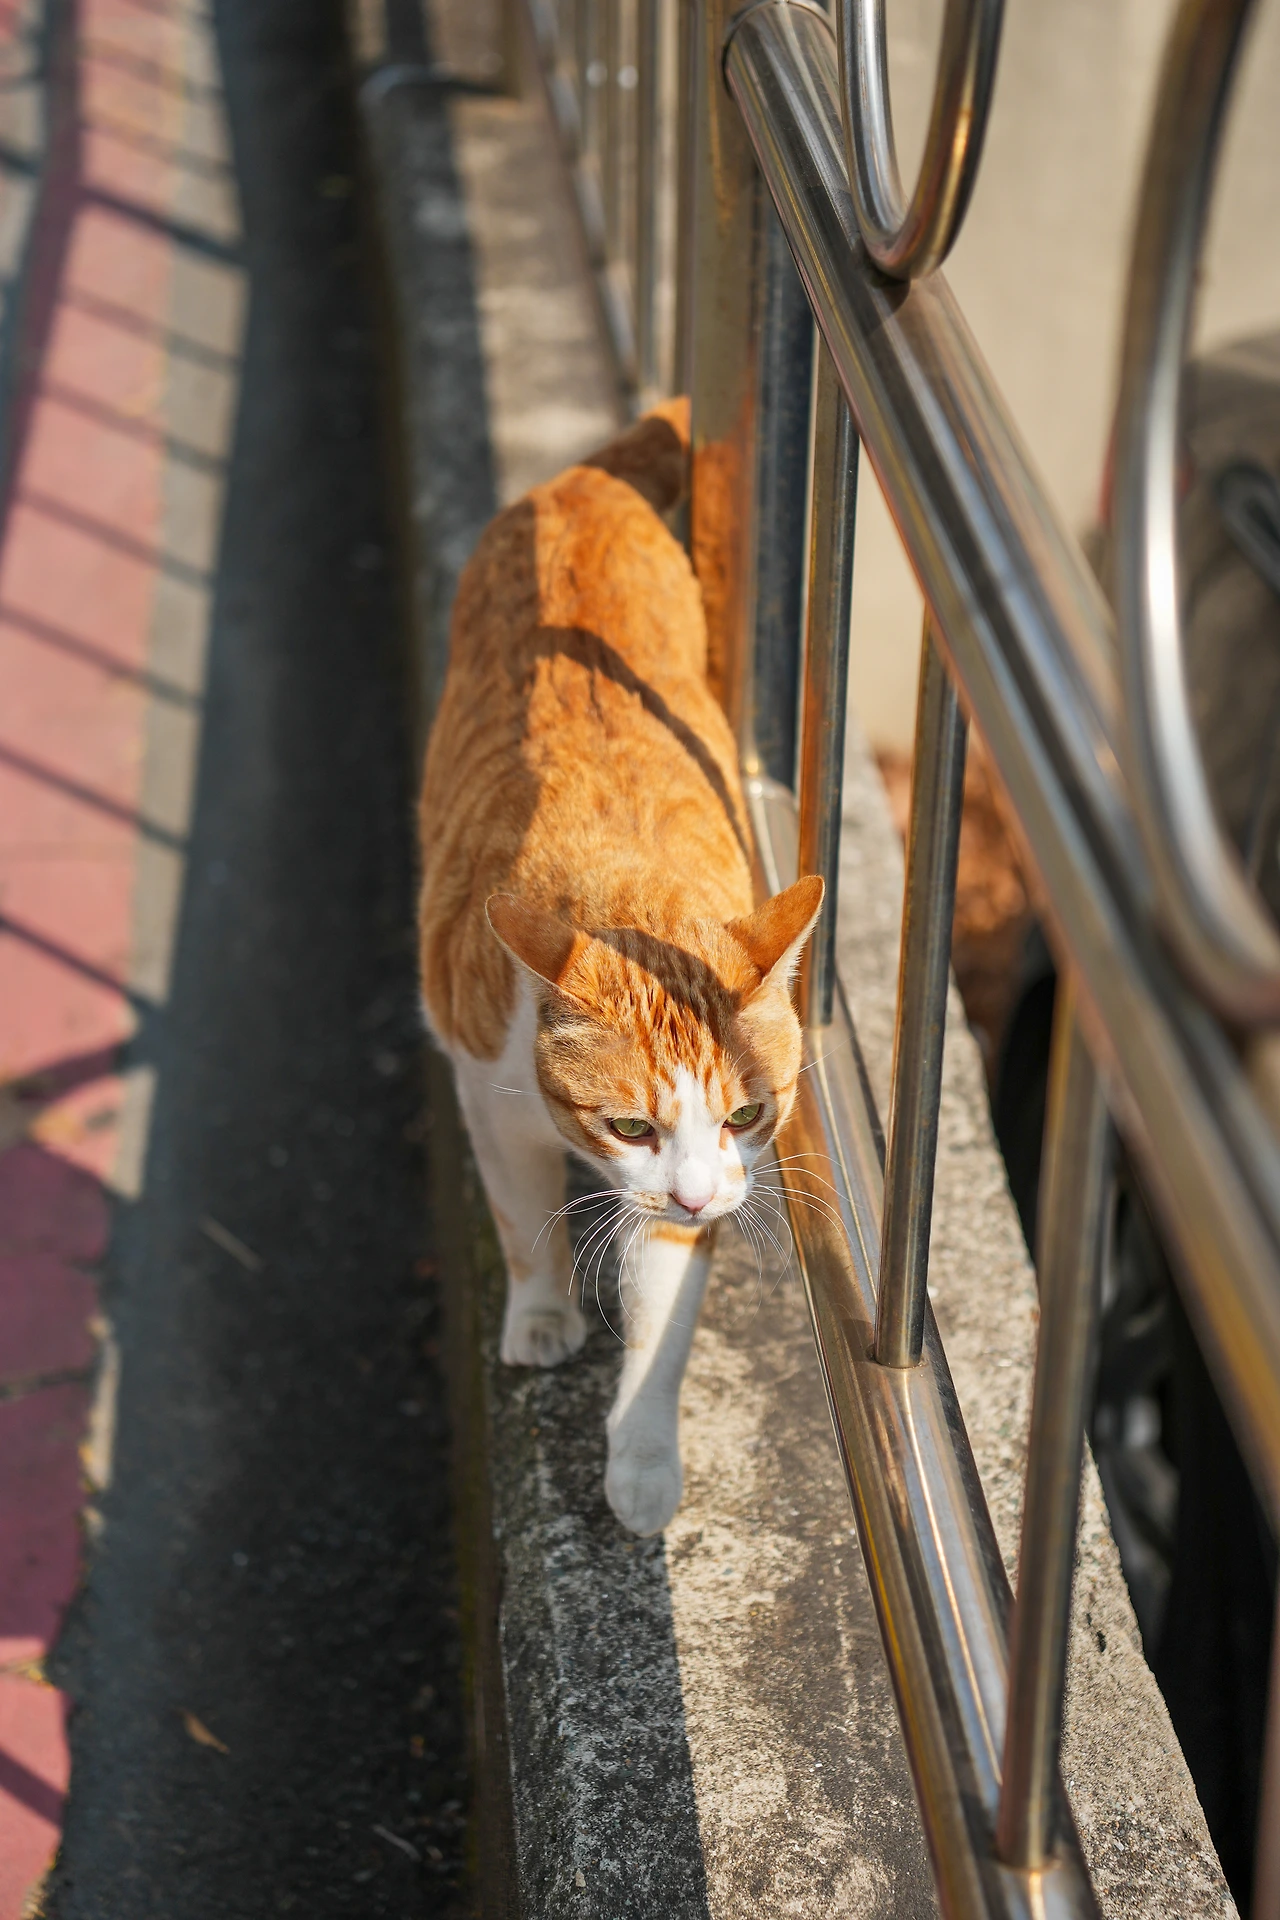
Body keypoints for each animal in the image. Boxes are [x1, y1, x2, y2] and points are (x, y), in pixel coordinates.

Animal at [418, 397, 822, 1535]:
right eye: (629, 1125)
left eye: (748, 1113)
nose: (690, 1200)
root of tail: (582, 481)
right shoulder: (485, 1087)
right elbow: (519, 1217)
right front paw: (541, 1312)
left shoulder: (703, 1190)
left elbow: (663, 1324)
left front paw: (641, 1463)